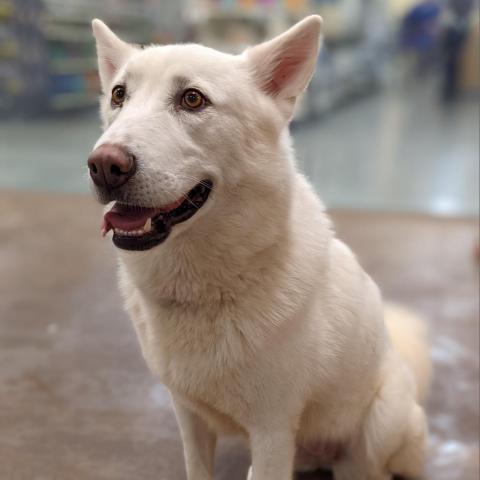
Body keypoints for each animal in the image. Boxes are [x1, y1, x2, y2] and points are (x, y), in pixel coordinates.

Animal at [89, 15, 432, 480]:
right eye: (118, 95)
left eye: (192, 99)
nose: (104, 165)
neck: (208, 291)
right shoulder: (189, 417)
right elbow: (197, 468)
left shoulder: (272, 430)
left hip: (382, 423)